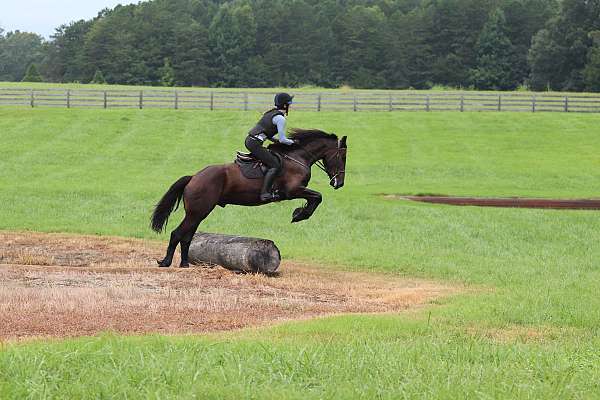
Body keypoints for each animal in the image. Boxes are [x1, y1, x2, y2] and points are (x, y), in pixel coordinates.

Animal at [150, 128, 346, 268]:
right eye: (342, 156)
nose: (339, 183)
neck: (297, 157)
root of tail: (194, 177)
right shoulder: (292, 191)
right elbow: (318, 197)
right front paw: (299, 214)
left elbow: (316, 198)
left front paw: (300, 212)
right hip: (197, 212)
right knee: (178, 233)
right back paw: (166, 262)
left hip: (198, 213)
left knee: (187, 236)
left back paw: (184, 264)